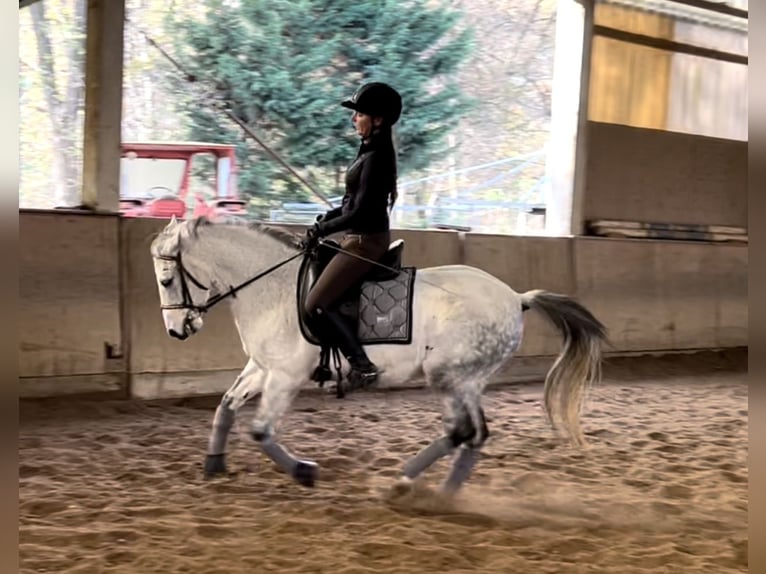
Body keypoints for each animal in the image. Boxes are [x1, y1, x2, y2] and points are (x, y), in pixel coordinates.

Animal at [150, 218, 608, 492]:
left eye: (168, 279)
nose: (176, 330)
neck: (272, 288)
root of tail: (515, 298)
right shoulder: (262, 368)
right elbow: (226, 406)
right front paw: (214, 464)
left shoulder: (285, 376)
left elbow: (262, 431)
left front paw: (304, 470)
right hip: (467, 379)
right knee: (472, 434)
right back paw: (432, 491)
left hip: (449, 375)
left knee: (463, 431)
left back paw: (412, 487)